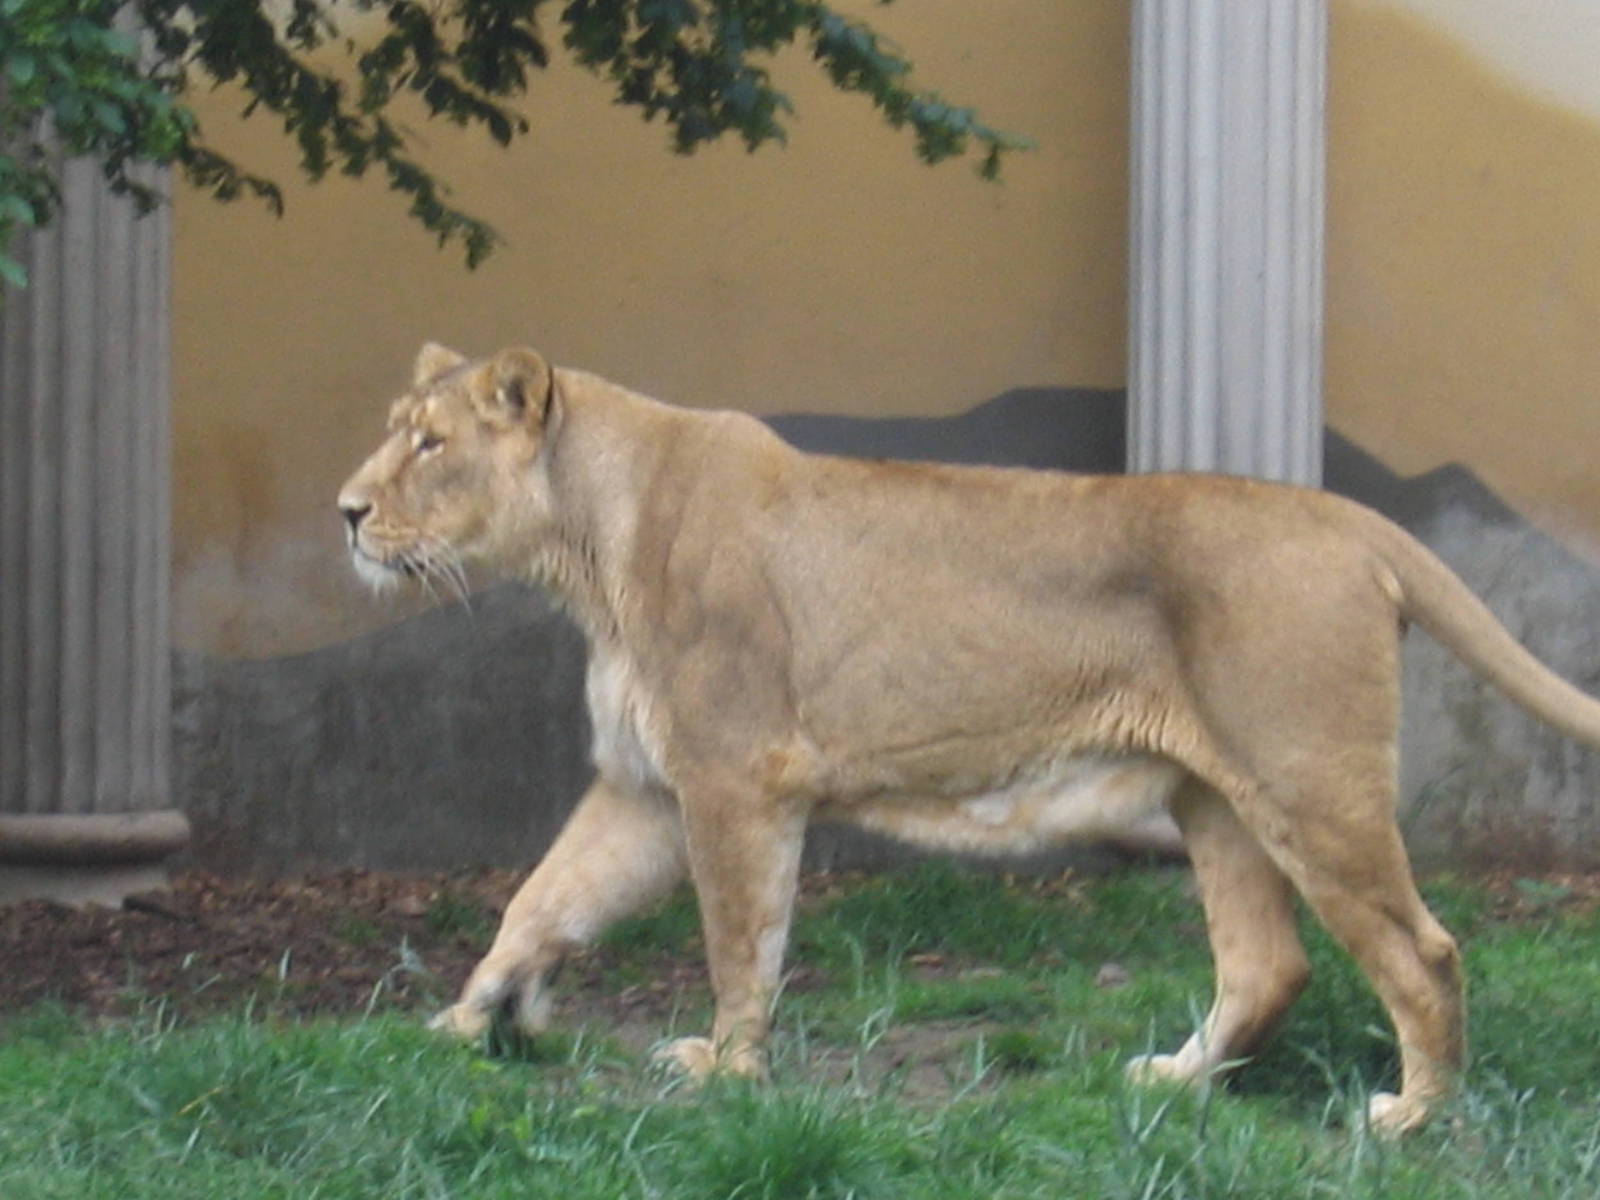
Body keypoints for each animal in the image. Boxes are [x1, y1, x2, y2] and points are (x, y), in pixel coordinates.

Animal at [337, 343, 1600, 1135]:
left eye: (429, 444)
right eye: (396, 435)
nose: (345, 511)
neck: (586, 550)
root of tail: (1344, 516)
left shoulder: (734, 775)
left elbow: (739, 939)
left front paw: (727, 1073)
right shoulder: (644, 786)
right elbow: (539, 901)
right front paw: (462, 1022)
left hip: (1307, 785)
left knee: (1421, 952)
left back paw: (1413, 1118)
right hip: (1217, 800)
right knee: (1268, 964)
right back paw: (1176, 1082)